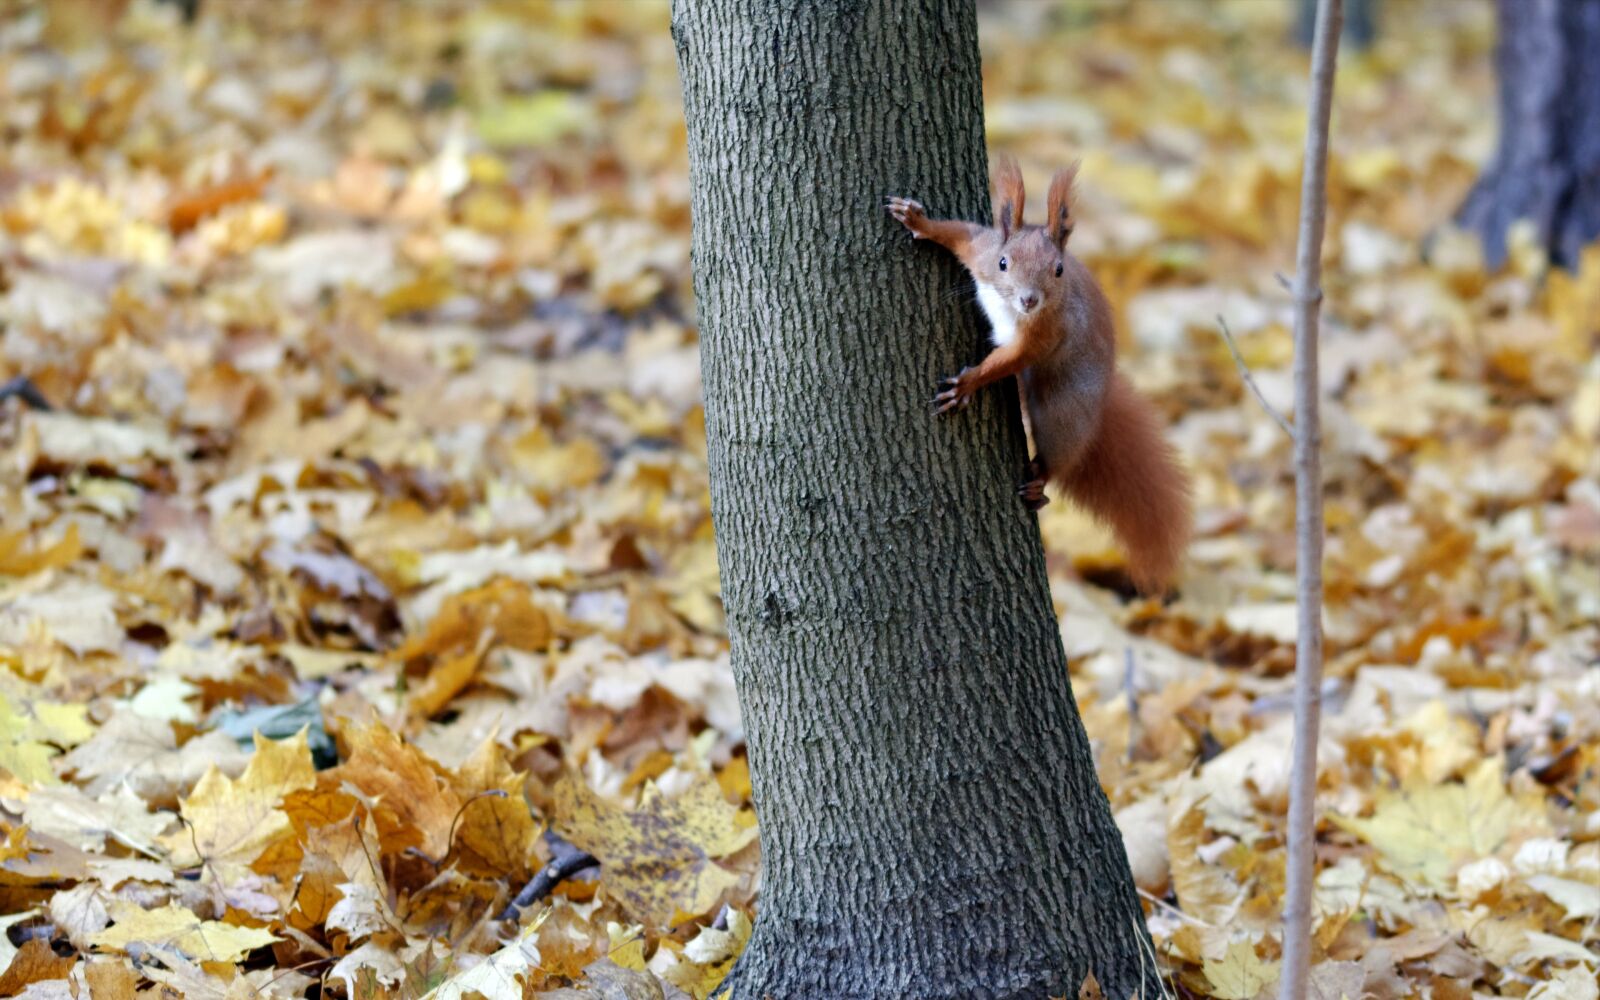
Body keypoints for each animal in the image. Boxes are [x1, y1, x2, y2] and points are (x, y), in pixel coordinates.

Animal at [886, 156, 1192, 593]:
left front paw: (967, 384)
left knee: (1060, 455)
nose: (1029, 299)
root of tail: (1100, 405)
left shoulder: (1044, 334)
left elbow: (1009, 360)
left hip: (1063, 414)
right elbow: (959, 234)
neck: (1013, 308)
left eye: (1059, 270)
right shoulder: (981, 250)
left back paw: (1040, 483)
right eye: (1004, 263)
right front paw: (918, 220)